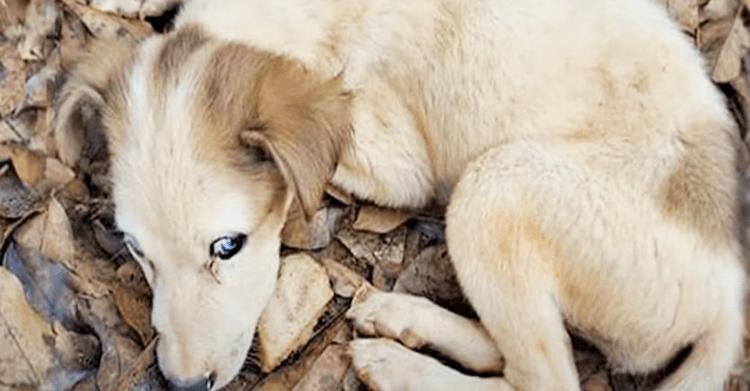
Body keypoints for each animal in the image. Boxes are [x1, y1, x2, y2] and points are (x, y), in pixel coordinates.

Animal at [54, 0, 750, 390]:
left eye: (228, 246)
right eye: (135, 250)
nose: (182, 386)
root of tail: (726, 302)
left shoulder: (396, 159)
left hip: (494, 187)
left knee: (547, 381)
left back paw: (398, 368)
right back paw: (402, 321)